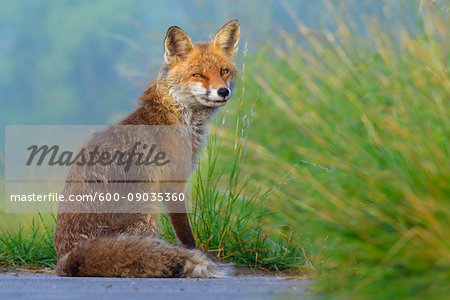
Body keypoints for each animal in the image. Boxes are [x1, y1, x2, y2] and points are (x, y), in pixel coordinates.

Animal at [53, 19, 239, 278]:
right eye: (198, 75)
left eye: (224, 71)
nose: (223, 91)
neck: (177, 117)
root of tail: (65, 258)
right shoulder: (173, 184)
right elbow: (186, 236)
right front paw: (196, 254)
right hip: (146, 213)